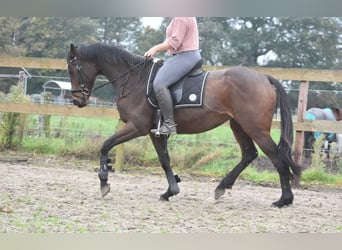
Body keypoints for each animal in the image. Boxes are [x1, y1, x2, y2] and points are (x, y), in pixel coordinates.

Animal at [67, 43, 302, 207]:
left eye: (72, 70)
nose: (77, 100)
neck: (134, 80)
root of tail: (263, 77)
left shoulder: (137, 127)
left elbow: (105, 145)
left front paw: (104, 181)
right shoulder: (156, 132)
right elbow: (164, 159)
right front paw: (170, 191)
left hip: (256, 129)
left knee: (276, 158)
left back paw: (284, 199)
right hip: (239, 126)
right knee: (249, 154)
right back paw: (221, 187)